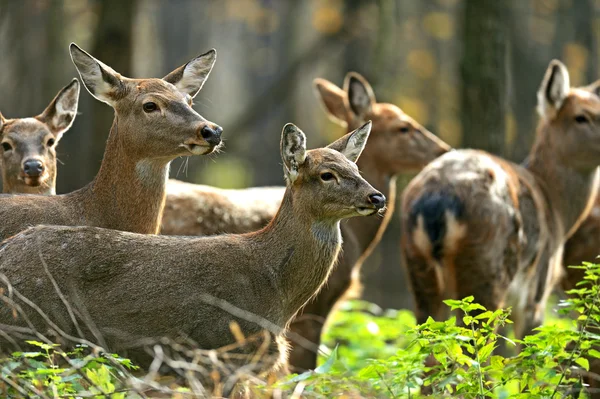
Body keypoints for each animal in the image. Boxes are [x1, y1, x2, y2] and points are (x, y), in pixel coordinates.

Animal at [0, 121, 384, 390]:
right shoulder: (219, 349)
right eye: (326, 175)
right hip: (31, 333)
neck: (274, 291)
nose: (377, 197)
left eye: (357, 170)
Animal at [398, 59, 600, 346]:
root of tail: (436, 200)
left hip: (418, 270)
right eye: (581, 116)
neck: (557, 209)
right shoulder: (535, 293)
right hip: (485, 272)